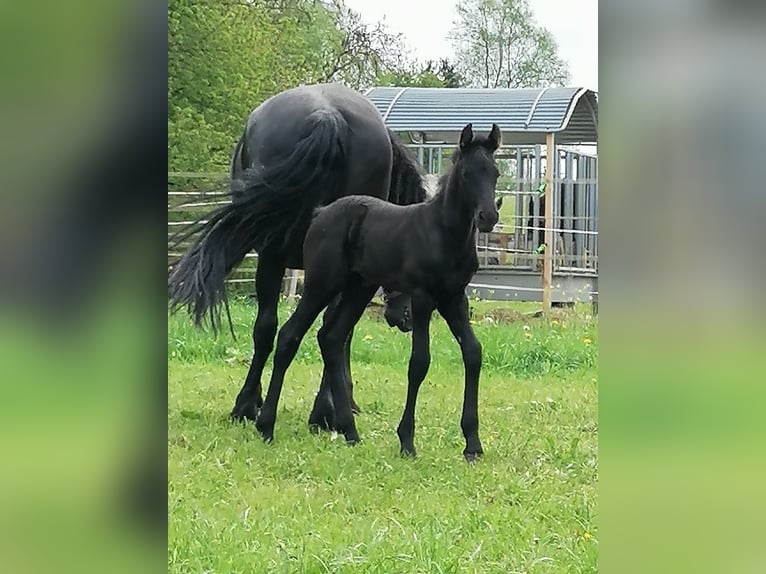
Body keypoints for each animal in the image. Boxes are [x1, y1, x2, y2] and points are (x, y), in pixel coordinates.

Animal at [255, 122, 500, 464]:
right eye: (466, 174)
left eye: (495, 172)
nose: (488, 217)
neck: (443, 231)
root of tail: (320, 213)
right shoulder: (423, 297)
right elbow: (419, 362)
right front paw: (407, 441)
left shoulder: (454, 298)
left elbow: (473, 354)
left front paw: (473, 445)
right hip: (321, 284)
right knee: (290, 334)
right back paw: (266, 425)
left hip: (359, 288)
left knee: (331, 338)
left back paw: (350, 432)